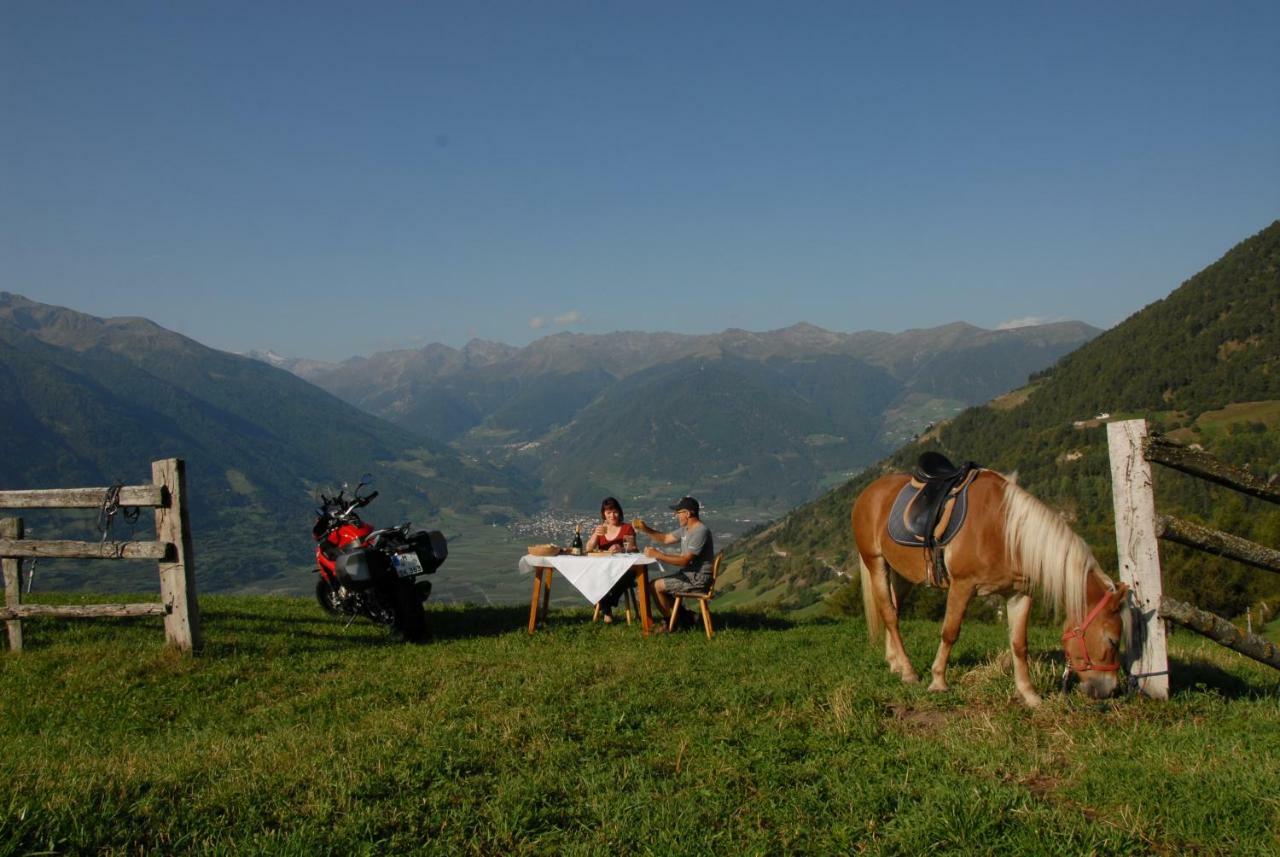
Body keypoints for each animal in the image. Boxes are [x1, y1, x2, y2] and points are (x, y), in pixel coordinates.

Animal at [855, 465, 1126, 706]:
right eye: (1113, 641)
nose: (1110, 691)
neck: (1004, 531)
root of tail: (869, 491)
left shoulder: (1019, 594)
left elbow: (1019, 644)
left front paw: (1029, 695)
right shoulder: (962, 586)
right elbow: (950, 632)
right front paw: (938, 681)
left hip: (902, 574)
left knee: (893, 610)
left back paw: (895, 663)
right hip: (876, 563)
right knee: (889, 615)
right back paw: (909, 671)